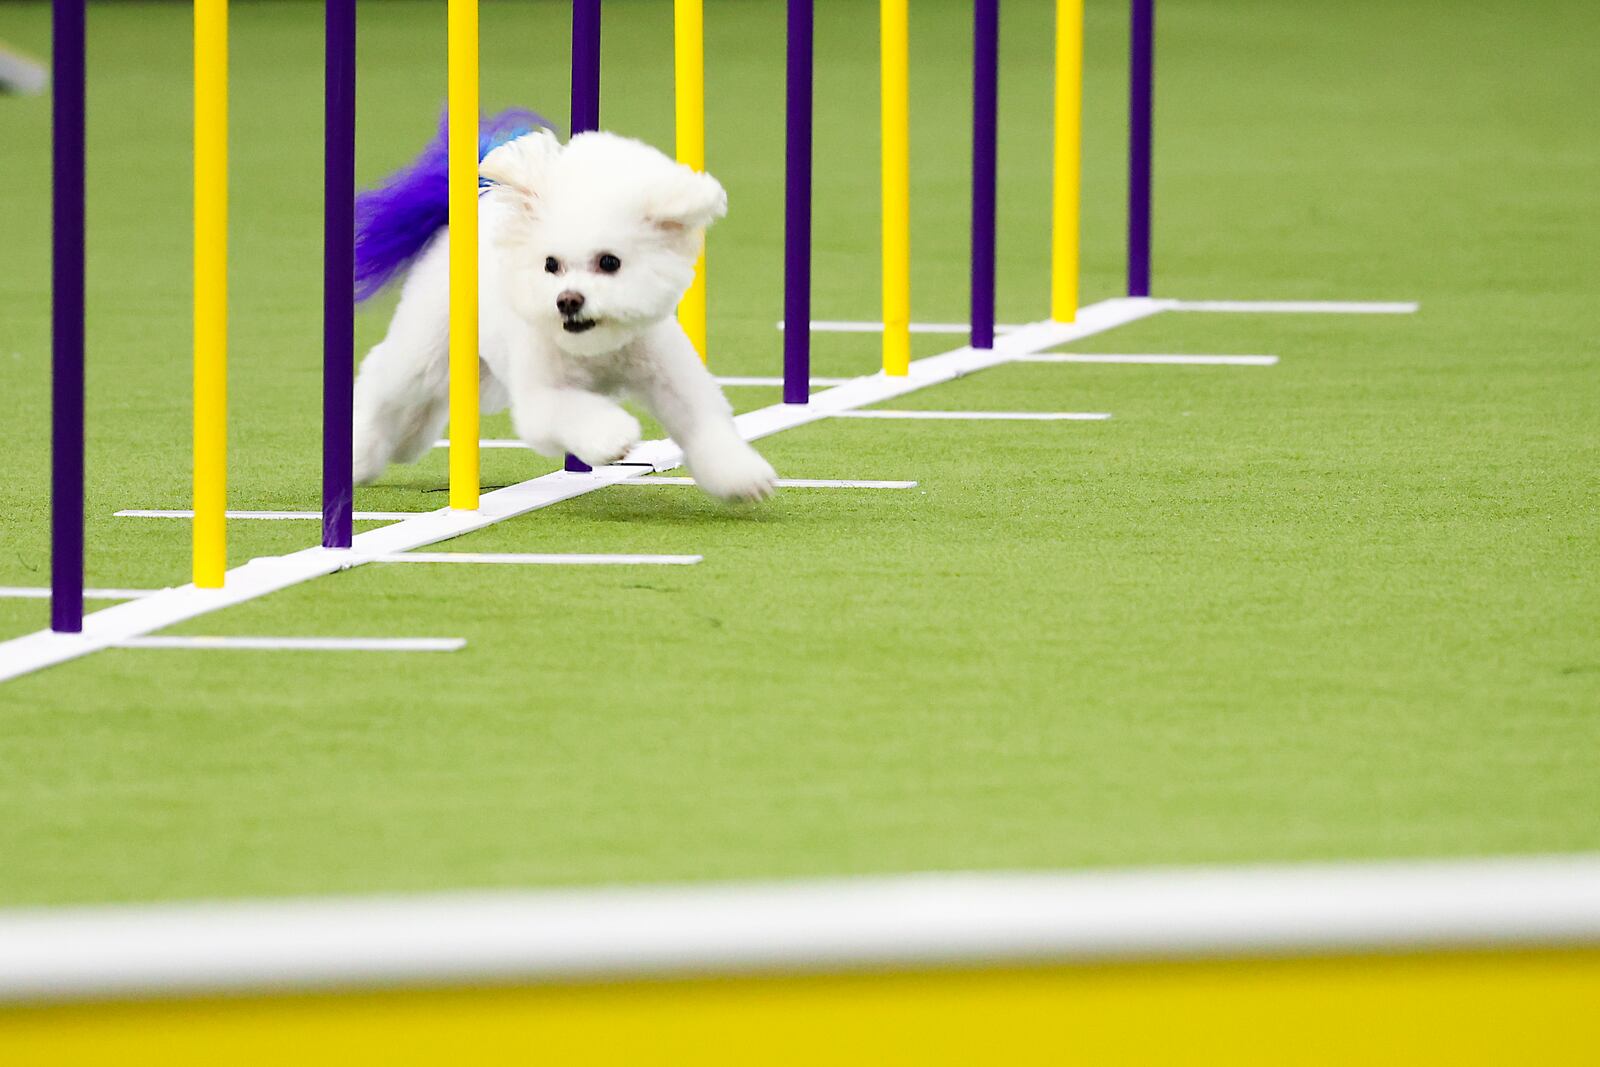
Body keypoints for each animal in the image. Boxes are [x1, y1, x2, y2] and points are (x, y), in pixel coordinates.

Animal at [353, 127, 777, 502]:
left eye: (609, 262)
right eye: (550, 264)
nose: (568, 300)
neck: (598, 349)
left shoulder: (670, 374)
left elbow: (704, 420)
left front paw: (743, 476)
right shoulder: (542, 396)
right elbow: (572, 412)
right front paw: (614, 436)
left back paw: (404, 444)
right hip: (428, 347)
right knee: (382, 378)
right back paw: (360, 457)